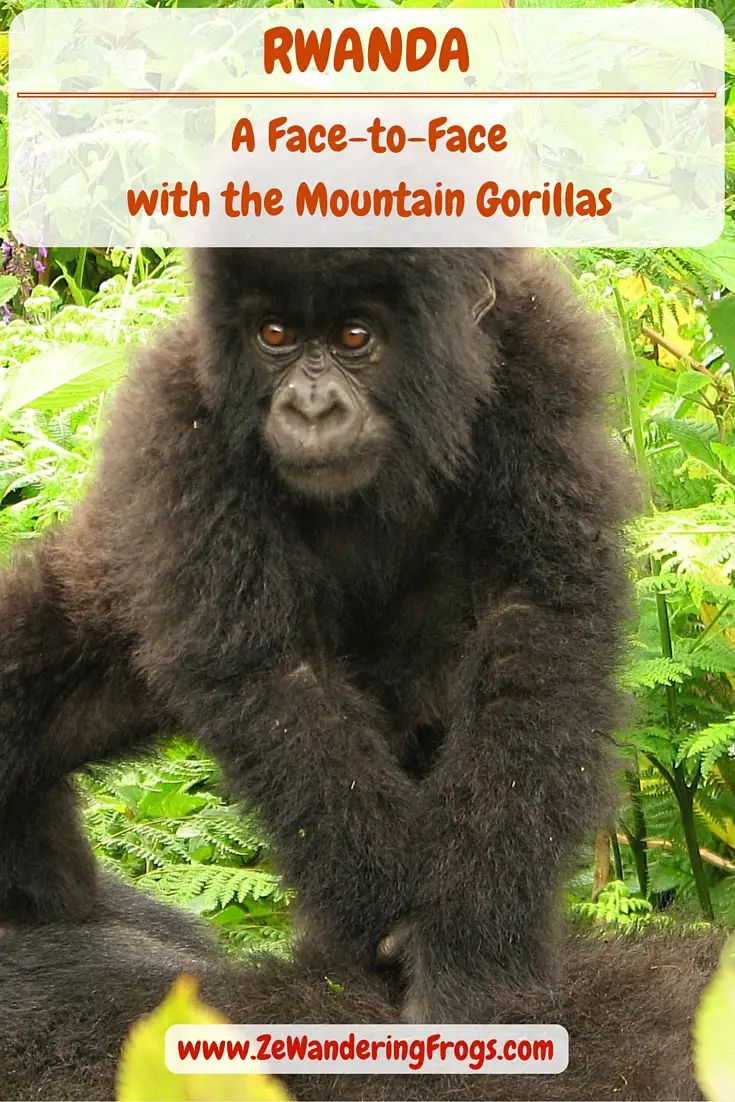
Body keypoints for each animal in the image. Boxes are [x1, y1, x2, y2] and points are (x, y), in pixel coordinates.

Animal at [0, 250, 634, 1022]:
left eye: (355, 337)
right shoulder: (180, 415)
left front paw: (471, 941)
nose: (309, 408)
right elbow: (277, 676)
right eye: (274, 334)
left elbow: (534, 622)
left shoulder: (538, 361)